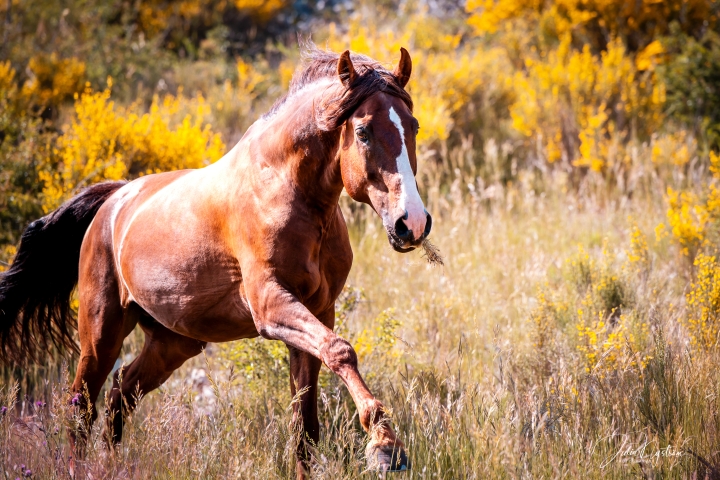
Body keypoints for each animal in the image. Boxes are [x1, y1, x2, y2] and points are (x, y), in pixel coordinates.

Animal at [0, 46, 428, 476]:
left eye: (414, 125)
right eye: (363, 132)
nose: (412, 222)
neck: (284, 188)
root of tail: (114, 200)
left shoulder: (320, 312)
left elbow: (305, 429)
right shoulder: (270, 306)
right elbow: (341, 351)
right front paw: (385, 445)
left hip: (172, 343)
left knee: (119, 394)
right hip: (101, 331)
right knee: (81, 406)